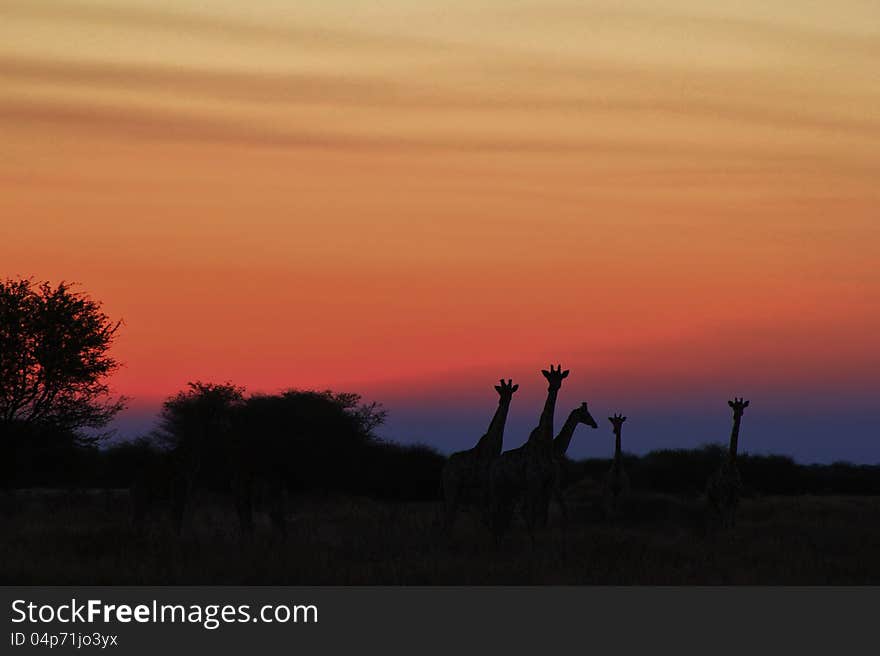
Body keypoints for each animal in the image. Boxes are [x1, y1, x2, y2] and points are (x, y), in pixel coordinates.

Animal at [440, 380, 516, 532]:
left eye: (510, 391)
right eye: (501, 391)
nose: (504, 400)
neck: (492, 447)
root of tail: (445, 467)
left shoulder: (488, 485)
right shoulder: (484, 484)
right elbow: (485, 516)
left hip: (458, 490)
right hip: (451, 486)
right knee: (448, 517)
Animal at [488, 364, 572, 544]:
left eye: (560, 377)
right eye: (549, 377)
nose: (554, 386)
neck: (544, 444)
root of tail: (494, 464)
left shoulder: (547, 484)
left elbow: (542, 516)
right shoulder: (534, 482)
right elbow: (532, 514)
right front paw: (533, 543)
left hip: (511, 489)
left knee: (504, 514)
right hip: (497, 487)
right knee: (495, 512)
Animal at [708, 398, 748, 532]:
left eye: (742, 408)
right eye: (733, 407)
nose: (736, 415)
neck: (731, 462)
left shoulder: (736, 497)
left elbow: (732, 521)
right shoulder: (724, 495)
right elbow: (725, 520)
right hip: (712, 499)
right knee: (715, 517)